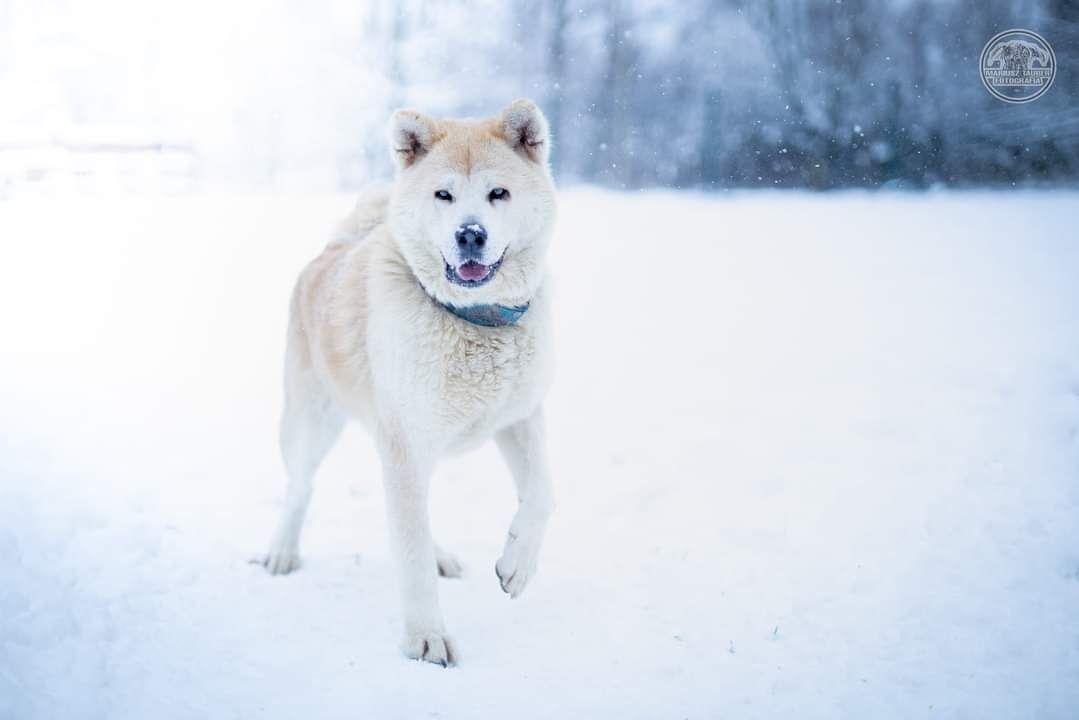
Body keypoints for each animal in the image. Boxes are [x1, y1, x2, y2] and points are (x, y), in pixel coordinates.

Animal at [258, 98, 556, 669]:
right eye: (443, 195)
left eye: (498, 193)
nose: (470, 234)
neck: (471, 319)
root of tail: (337, 244)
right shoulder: (405, 445)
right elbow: (411, 555)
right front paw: (427, 638)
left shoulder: (519, 419)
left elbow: (545, 493)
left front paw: (519, 564)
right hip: (310, 424)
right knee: (300, 489)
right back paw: (281, 551)